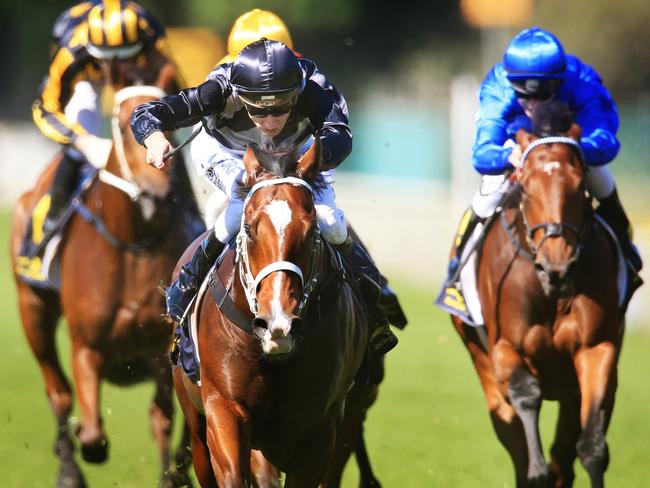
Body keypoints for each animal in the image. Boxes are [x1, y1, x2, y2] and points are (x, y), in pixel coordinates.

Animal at [10, 83, 197, 484]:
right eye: (124, 127)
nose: (157, 191)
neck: (134, 245)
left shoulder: (163, 351)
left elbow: (164, 419)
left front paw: (173, 475)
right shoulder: (87, 346)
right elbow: (94, 436)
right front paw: (82, 439)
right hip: (33, 309)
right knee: (58, 391)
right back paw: (68, 466)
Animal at [172, 150, 370, 488]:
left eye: (311, 231)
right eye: (250, 228)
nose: (278, 324)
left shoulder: (320, 428)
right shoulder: (224, 407)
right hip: (196, 425)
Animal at [448, 104, 624, 488]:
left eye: (579, 184)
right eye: (526, 186)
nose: (557, 266)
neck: (552, 294)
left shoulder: (597, 349)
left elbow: (591, 447)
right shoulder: (505, 349)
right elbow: (527, 400)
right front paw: (536, 469)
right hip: (481, 361)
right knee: (511, 427)